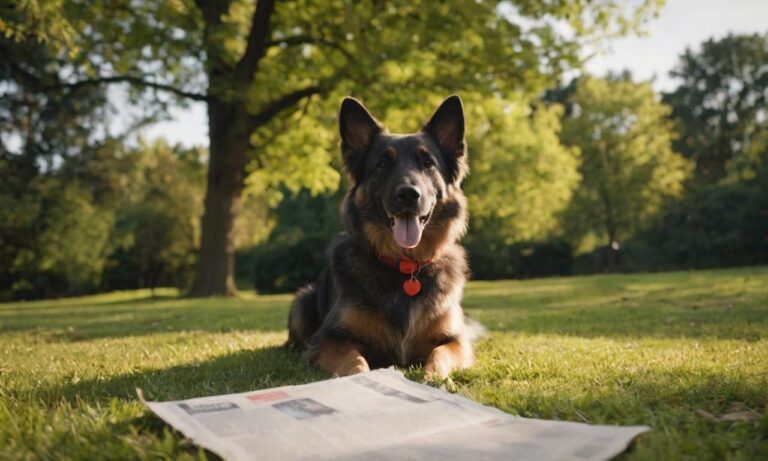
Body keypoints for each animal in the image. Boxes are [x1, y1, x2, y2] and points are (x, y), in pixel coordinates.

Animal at [286, 95, 480, 380]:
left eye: (428, 164)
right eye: (382, 164)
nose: (409, 194)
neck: (405, 267)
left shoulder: (454, 340)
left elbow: (439, 354)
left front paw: (432, 379)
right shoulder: (329, 339)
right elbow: (354, 360)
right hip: (303, 301)